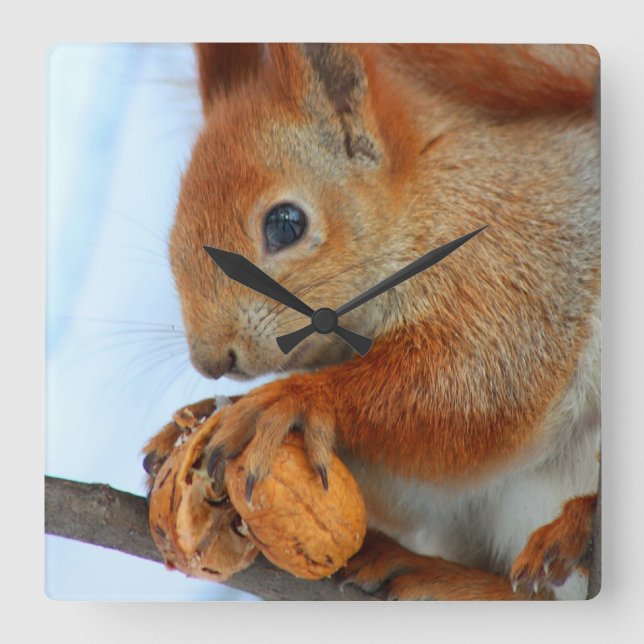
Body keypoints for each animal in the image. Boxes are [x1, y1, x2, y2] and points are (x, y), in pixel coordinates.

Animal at [144, 43, 600, 600]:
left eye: (285, 224)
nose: (211, 361)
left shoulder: (514, 268)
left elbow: (475, 387)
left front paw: (290, 400)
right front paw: (199, 416)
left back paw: (574, 528)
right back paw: (429, 571)